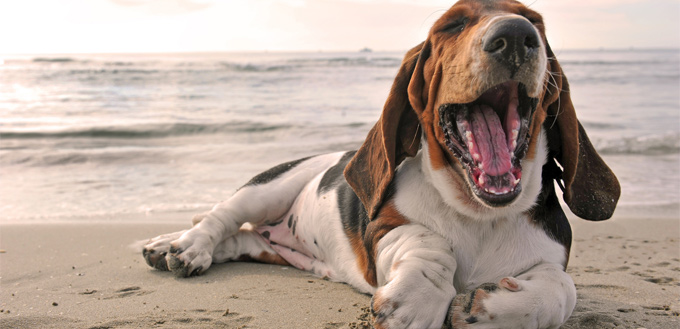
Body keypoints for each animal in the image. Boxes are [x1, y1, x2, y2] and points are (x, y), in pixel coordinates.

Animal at [143, 1, 620, 326]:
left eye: (535, 21)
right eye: (453, 24)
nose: (517, 35)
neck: (478, 213)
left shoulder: (554, 258)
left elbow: (562, 287)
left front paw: (488, 308)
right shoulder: (383, 230)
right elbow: (430, 242)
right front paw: (415, 299)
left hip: (272, 246)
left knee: (239, 239)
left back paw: (167, 246)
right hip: (269, 187)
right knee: (220, 218)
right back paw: (183, 248)